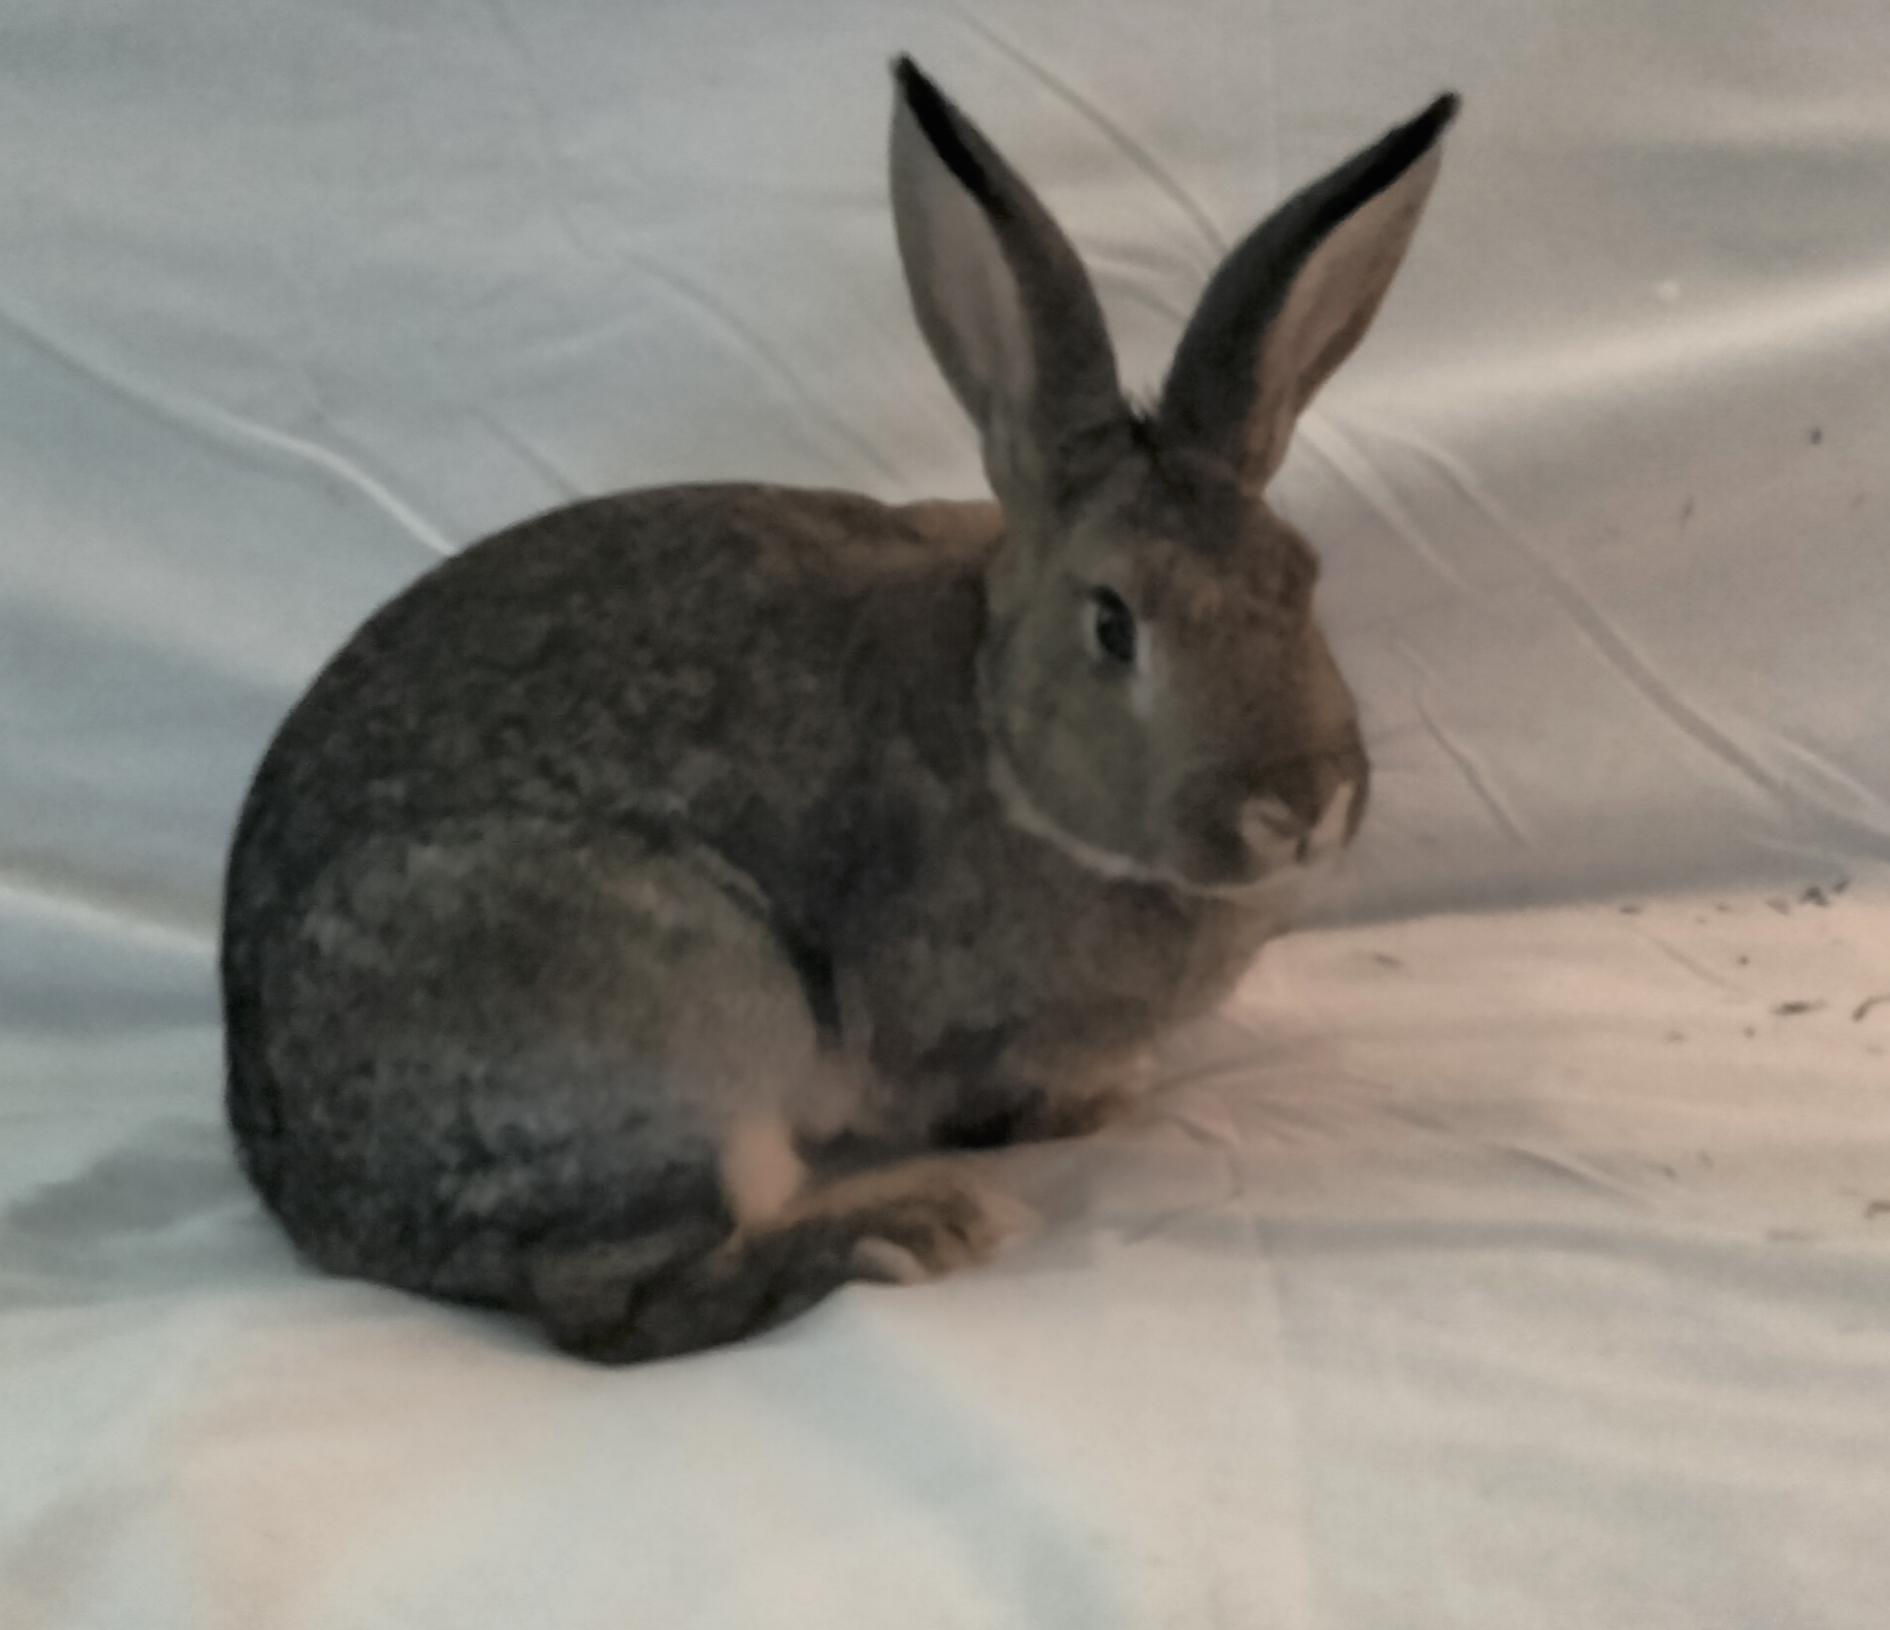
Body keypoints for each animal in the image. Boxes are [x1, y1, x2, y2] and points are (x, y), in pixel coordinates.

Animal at [221, 57, 1457, 1362]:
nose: (1301, 806)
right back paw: (902, 1228)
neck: (991, 722)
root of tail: (314, 1196)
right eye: (1115, 623)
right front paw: (1069, 1112)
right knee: (613, 1306)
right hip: (678, 1014)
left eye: (1303, 578)